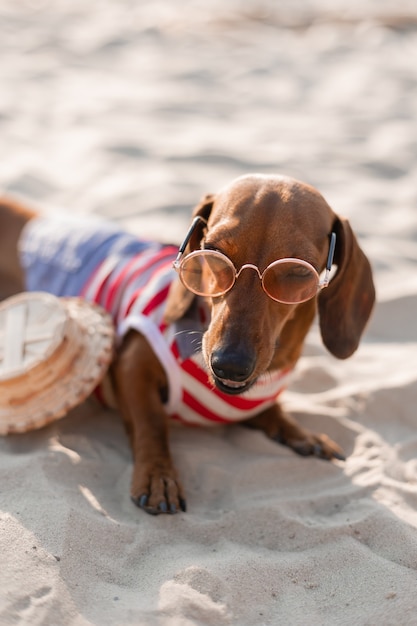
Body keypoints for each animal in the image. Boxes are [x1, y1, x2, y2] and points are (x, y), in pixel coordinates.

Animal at [0, 174, 374, 512]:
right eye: (213, 252)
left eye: (298, 272)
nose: (228, 364)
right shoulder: (130, 363)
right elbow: (152, 423)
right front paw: (158, 475)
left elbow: (270, 410)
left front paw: (299, 432)